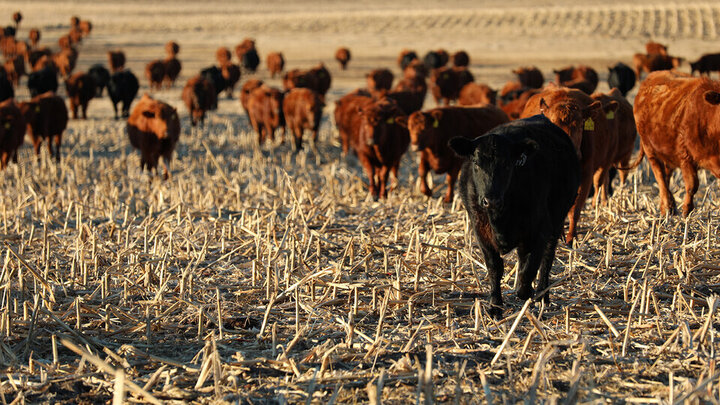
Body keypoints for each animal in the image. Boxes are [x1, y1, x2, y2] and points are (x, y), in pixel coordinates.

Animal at [449, 114, 581, 318]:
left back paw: (542, 296)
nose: (491, 200)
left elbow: (531, 266)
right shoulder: (480, 230)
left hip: (557, 220)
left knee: (546, 258)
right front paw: (495, 306)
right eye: (476, 163)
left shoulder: (541, 228)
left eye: (506, 164)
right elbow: (495, 267)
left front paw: (525, 292)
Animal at [632, 70, 720, 216]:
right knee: (660, 177)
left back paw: (668, 205)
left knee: (666, 177)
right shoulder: (686, 157)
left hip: (667, 154)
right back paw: (667, 208)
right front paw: (686, 211)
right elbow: (692, 186)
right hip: (650, 150)